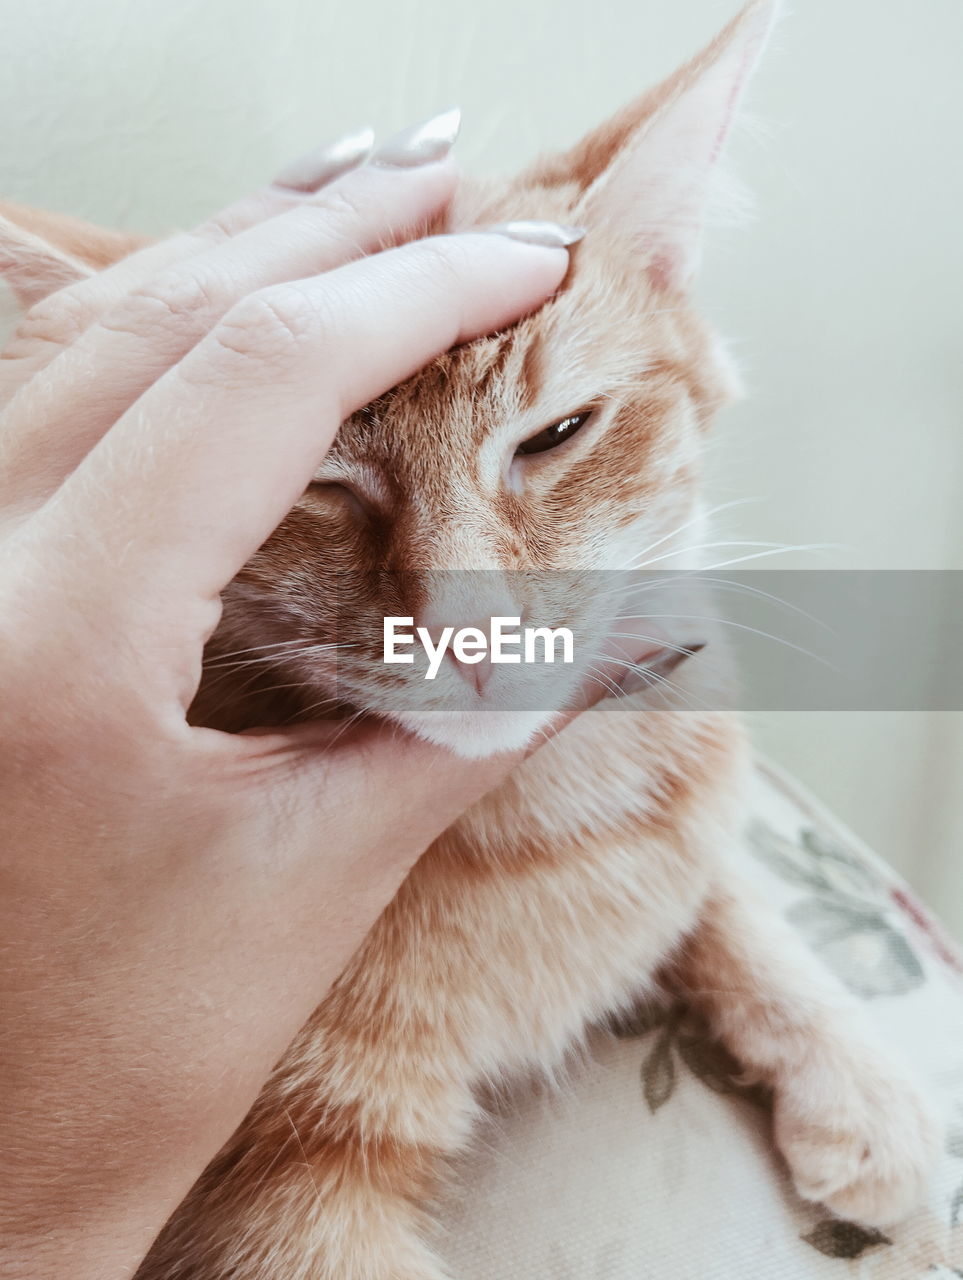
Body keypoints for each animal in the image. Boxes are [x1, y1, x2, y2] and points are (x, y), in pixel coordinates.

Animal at [1, 5, 942, 1274]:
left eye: (557, 432)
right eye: (316, 481)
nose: (470, 631)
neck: (545, 828)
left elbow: (718, 870)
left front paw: (850, 1067)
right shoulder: (277, 1201)